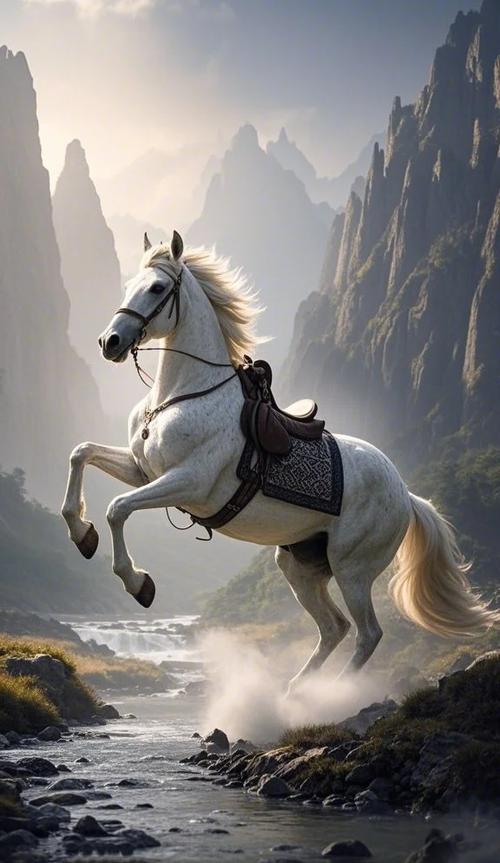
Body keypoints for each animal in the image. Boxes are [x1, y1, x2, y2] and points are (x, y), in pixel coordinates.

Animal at [61, 230, 497, 690]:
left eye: (158, 288)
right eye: (131, 285)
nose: (109, 342)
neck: (180, 396)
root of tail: (407, 496)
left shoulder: (186, 482)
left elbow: (117, 509)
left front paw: (137, 582)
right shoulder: (142, 470)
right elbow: (81, 453)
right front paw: (81, 533)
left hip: (353, 569)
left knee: (368, 634)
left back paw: (326, 695)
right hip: (300, 565)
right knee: (334, 628)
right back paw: (293, 692)